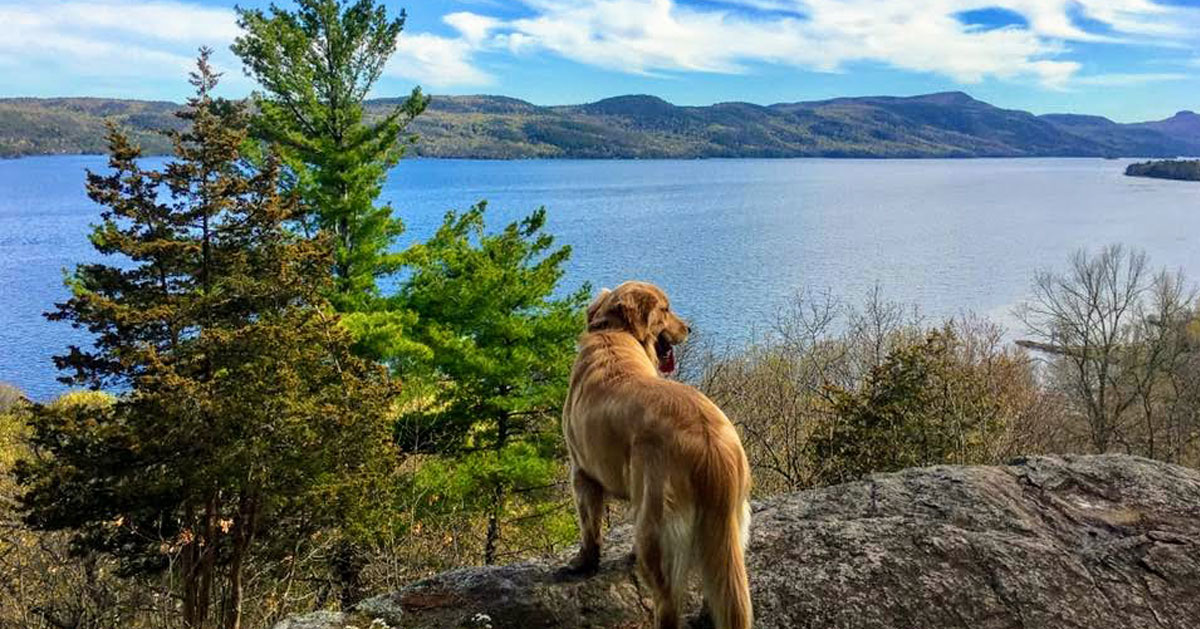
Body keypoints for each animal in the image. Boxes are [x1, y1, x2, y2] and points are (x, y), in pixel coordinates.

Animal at [561, 280, 748, 629]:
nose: (689, 328)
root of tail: (710, 441)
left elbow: (589, 528)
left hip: (657, 529)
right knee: (718, 584)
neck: (616, 332)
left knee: (668, 602)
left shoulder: (582, 474)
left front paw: (583, 563)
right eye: (666, 309)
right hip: (727, 527)